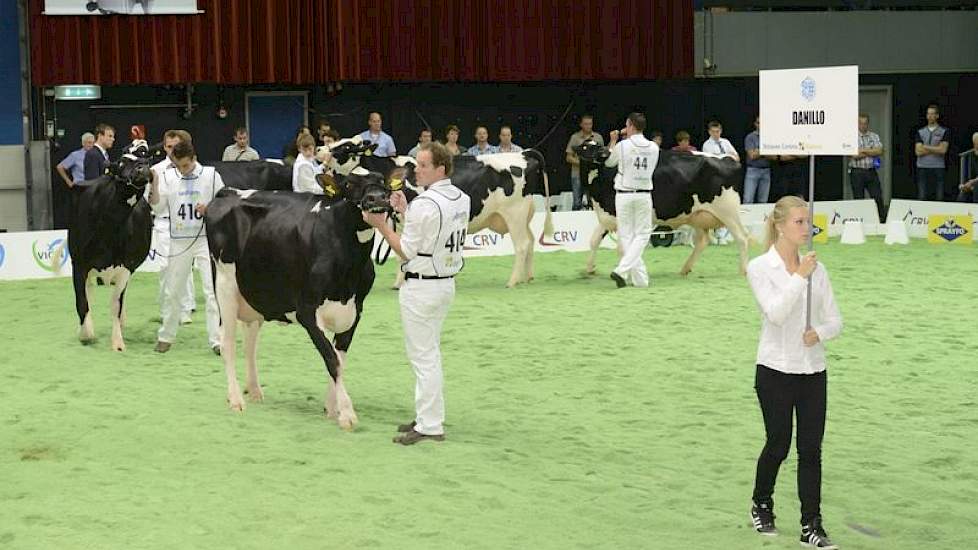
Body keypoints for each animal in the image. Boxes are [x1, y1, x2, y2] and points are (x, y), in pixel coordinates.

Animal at [56, 140, 161, 352]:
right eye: (121, 162)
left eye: (146, 159)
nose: (142, 168)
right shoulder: (79, 264)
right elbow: (82, 301)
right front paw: (86, 334)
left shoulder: (126, 267)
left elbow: (116, 304)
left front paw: (118, 342)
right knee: (88, 293)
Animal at [204, 169, 390, 432]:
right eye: (348, 184)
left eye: (383, 182)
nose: (377, 198)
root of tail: (228, 191)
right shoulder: (307, 310)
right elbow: (331, 358)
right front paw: (346, 413)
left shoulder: (355, 310)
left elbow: (339, 359)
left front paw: (332, 407)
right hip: (225, 283)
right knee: (228, 343)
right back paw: (236, 399)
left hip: (254, 293)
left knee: (250, 343)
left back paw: (255, 390)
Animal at [572, 138, 748, 276]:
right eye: (585, 146)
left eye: (595, 146)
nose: (603, 152)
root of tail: (728, 159)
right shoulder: (607, 216)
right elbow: (594, 240)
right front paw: (590, 269)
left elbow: (622, 248)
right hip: (697, 215)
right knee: (702, 241)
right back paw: (685, 268)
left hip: (728, 211)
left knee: (742, 237)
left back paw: (743, 270)